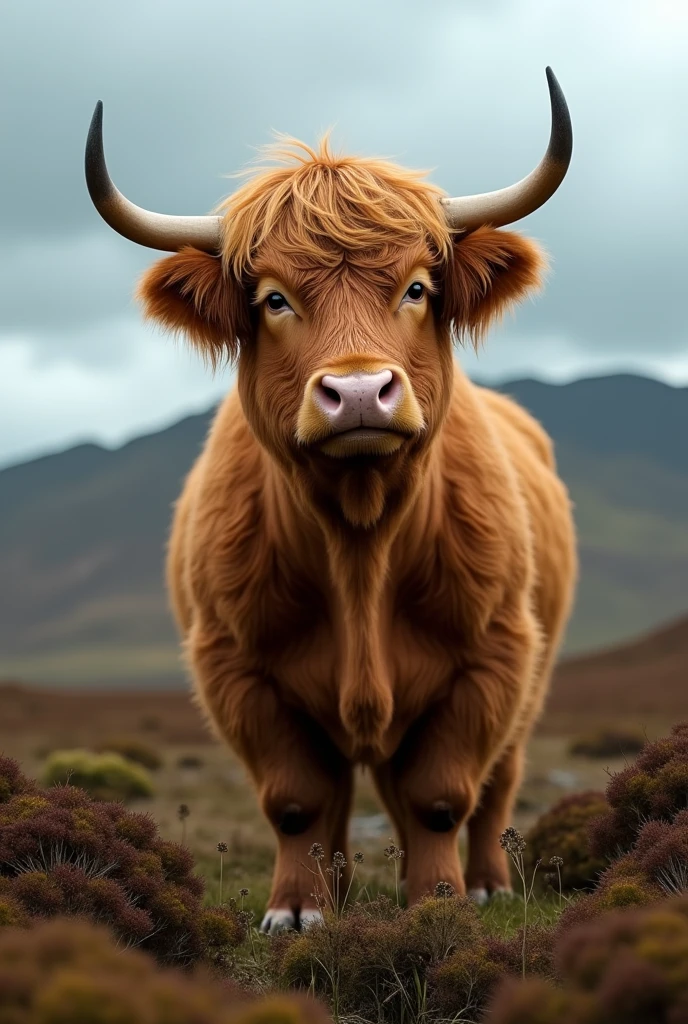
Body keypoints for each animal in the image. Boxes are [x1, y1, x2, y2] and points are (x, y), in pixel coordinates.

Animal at [87, 70, 581, 937]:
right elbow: (298, 801)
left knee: (495, 785)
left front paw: (440, 903)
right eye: (274, 300)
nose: (357, 392)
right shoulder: (237, 668)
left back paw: (488, 883)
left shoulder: (493, 658)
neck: (359, 540)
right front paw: (300, 911)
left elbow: (442, 795)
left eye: (417, 287)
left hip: (532, 673)